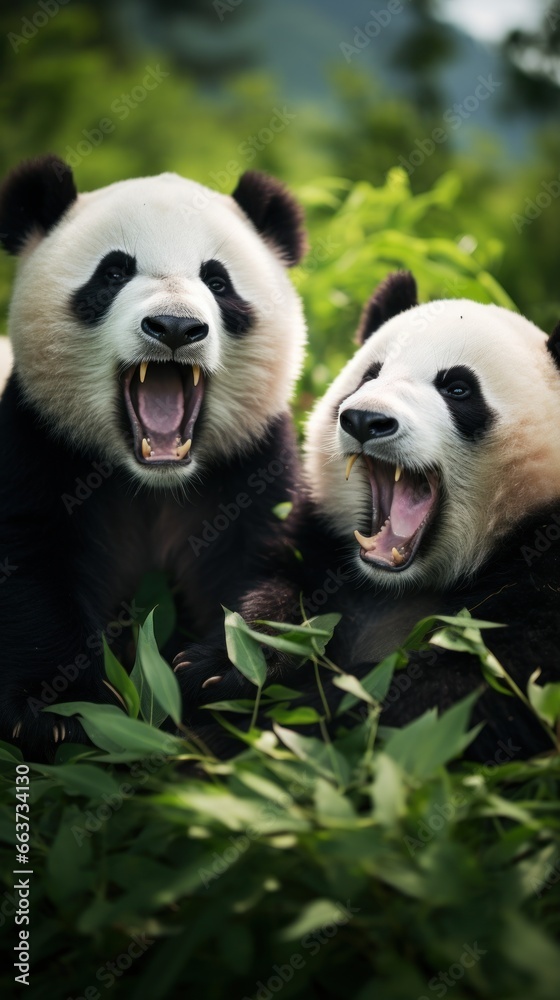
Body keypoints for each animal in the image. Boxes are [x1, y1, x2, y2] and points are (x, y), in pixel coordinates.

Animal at [0, 152, 306, 760]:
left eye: (217, 279)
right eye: (113, 273)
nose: (175, 327)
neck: (155, 481)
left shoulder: (252, 465)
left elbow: (275, 573)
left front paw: (224, 669)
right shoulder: (38, 444)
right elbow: (29, 567)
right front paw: (57, 713)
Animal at [185, 270, 560, 760]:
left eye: (458, 388)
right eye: (370, 375)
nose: (365, 420)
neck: (403, 584)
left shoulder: (544, 571)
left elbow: (455, 694)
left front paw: (260, 730)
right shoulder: (321, 542)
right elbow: (279, 589)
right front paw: (228, 662)